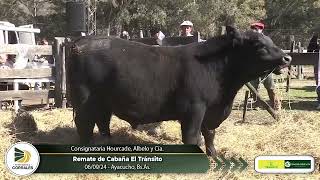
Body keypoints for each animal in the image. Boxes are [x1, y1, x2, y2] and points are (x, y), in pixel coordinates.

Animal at [69, 26, 292, 156]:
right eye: (258, 44)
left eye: (271, 41)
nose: (287, 58)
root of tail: (81, 42)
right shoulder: (194, 108)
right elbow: (192, 136)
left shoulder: (211, 111)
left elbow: (209, 134)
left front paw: (214, 155)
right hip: (84, 101)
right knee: (84, 125)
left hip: (103, 102)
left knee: (102, 122)